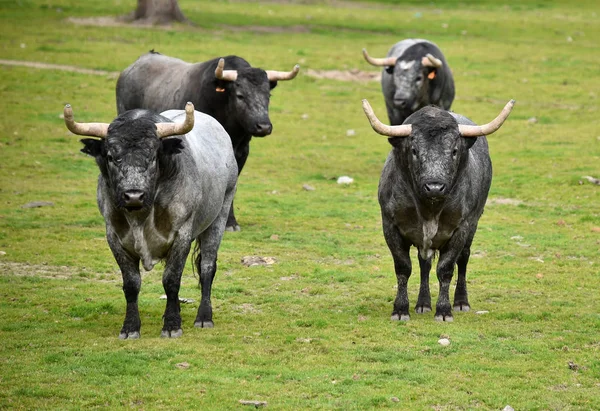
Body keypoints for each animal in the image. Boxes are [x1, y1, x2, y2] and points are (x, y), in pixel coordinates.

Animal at [62, 102, 237, 338]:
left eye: (153, 156)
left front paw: (172, 326)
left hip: (220, 215)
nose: (133, 195)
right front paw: (130, 327)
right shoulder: (114, 237)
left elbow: (171, 280)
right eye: (111, 156)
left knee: (207, 266)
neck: (141, 216)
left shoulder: (182, 235)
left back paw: (204, 317)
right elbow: (131, 284)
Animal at [360, 98, 516, 320]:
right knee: (424, 264)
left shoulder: (460, 229)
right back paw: (423, 304)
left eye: (454, 151)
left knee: (464, 258)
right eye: (414, 150)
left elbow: (446, 269)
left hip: (473, 224)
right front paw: (400, 309)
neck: (429, 209)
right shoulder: (390, 226)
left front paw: (444, 310)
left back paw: (461, 302)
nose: (434, 187)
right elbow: (403, 268)